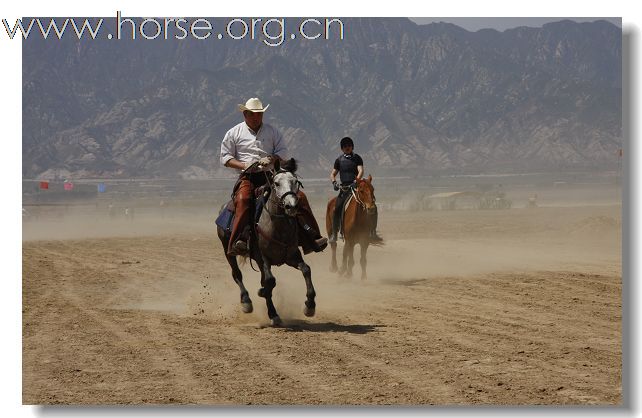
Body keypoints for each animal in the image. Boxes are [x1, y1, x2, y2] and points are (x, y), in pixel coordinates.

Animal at [215, 158, 316, 324]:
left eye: (295, 181)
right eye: (276, 183)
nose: (291, 206)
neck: (277, 227)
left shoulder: (292, 256)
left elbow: (306, 270)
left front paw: (310, 306)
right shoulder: (262, 258)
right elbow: (270, 281)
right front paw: (261, 293)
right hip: (228, 250)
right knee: (237, 274)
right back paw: (248, 302)